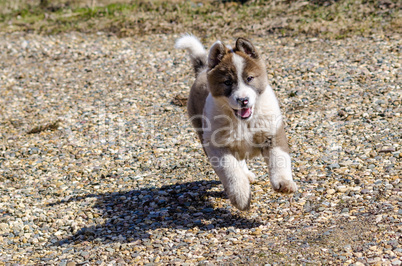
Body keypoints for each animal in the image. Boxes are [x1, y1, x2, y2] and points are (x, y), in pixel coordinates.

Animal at [174, 34, 296, 210]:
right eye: (227, 82)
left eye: (250, 78)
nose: (243, 100)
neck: (244, 122)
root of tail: (203, 70)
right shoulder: (216, 146)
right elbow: (230, 170)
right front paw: (240, 196)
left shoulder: (272, 133)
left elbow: (279, 159)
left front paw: (284, 183)